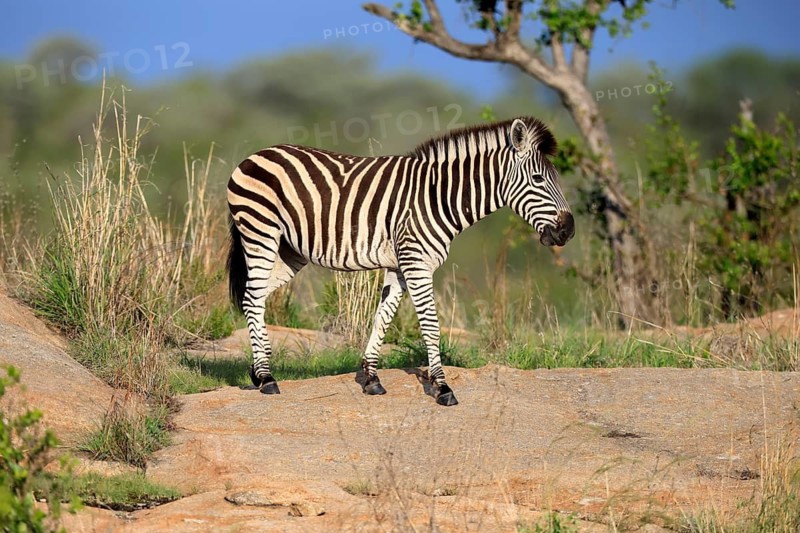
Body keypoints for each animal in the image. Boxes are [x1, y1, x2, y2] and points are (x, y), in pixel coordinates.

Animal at [227, 116, 574, 406]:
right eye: (538, 178)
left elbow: (382, 317)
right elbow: (431, 326)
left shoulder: (400, 266)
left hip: (290, 251)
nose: (568, 230)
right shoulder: (417, 263)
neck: (439, 197)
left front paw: (371, 378)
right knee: (253, 296)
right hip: (261, 232)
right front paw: (442, 387)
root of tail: (255, 155)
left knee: (252, 298)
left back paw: (257, 372)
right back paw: (267, 378)